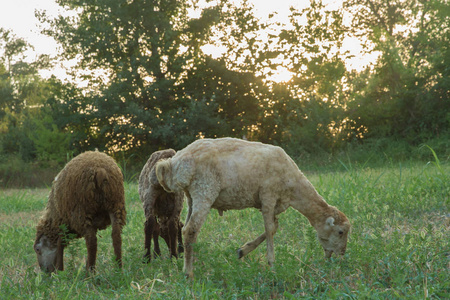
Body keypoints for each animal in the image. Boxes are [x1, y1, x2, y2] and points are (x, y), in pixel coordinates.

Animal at [156, 137, 352, 278]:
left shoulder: (273, 204)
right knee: (190, 230)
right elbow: (270, 228)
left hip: (191, 196)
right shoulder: (268, 195)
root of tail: (174, 163)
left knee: (184, 228)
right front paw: (272, 265)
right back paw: (188, 273)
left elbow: (273, 227)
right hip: (205, 190)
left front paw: (243, 250)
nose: (341, 254)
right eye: (340, 232)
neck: (294, 188)